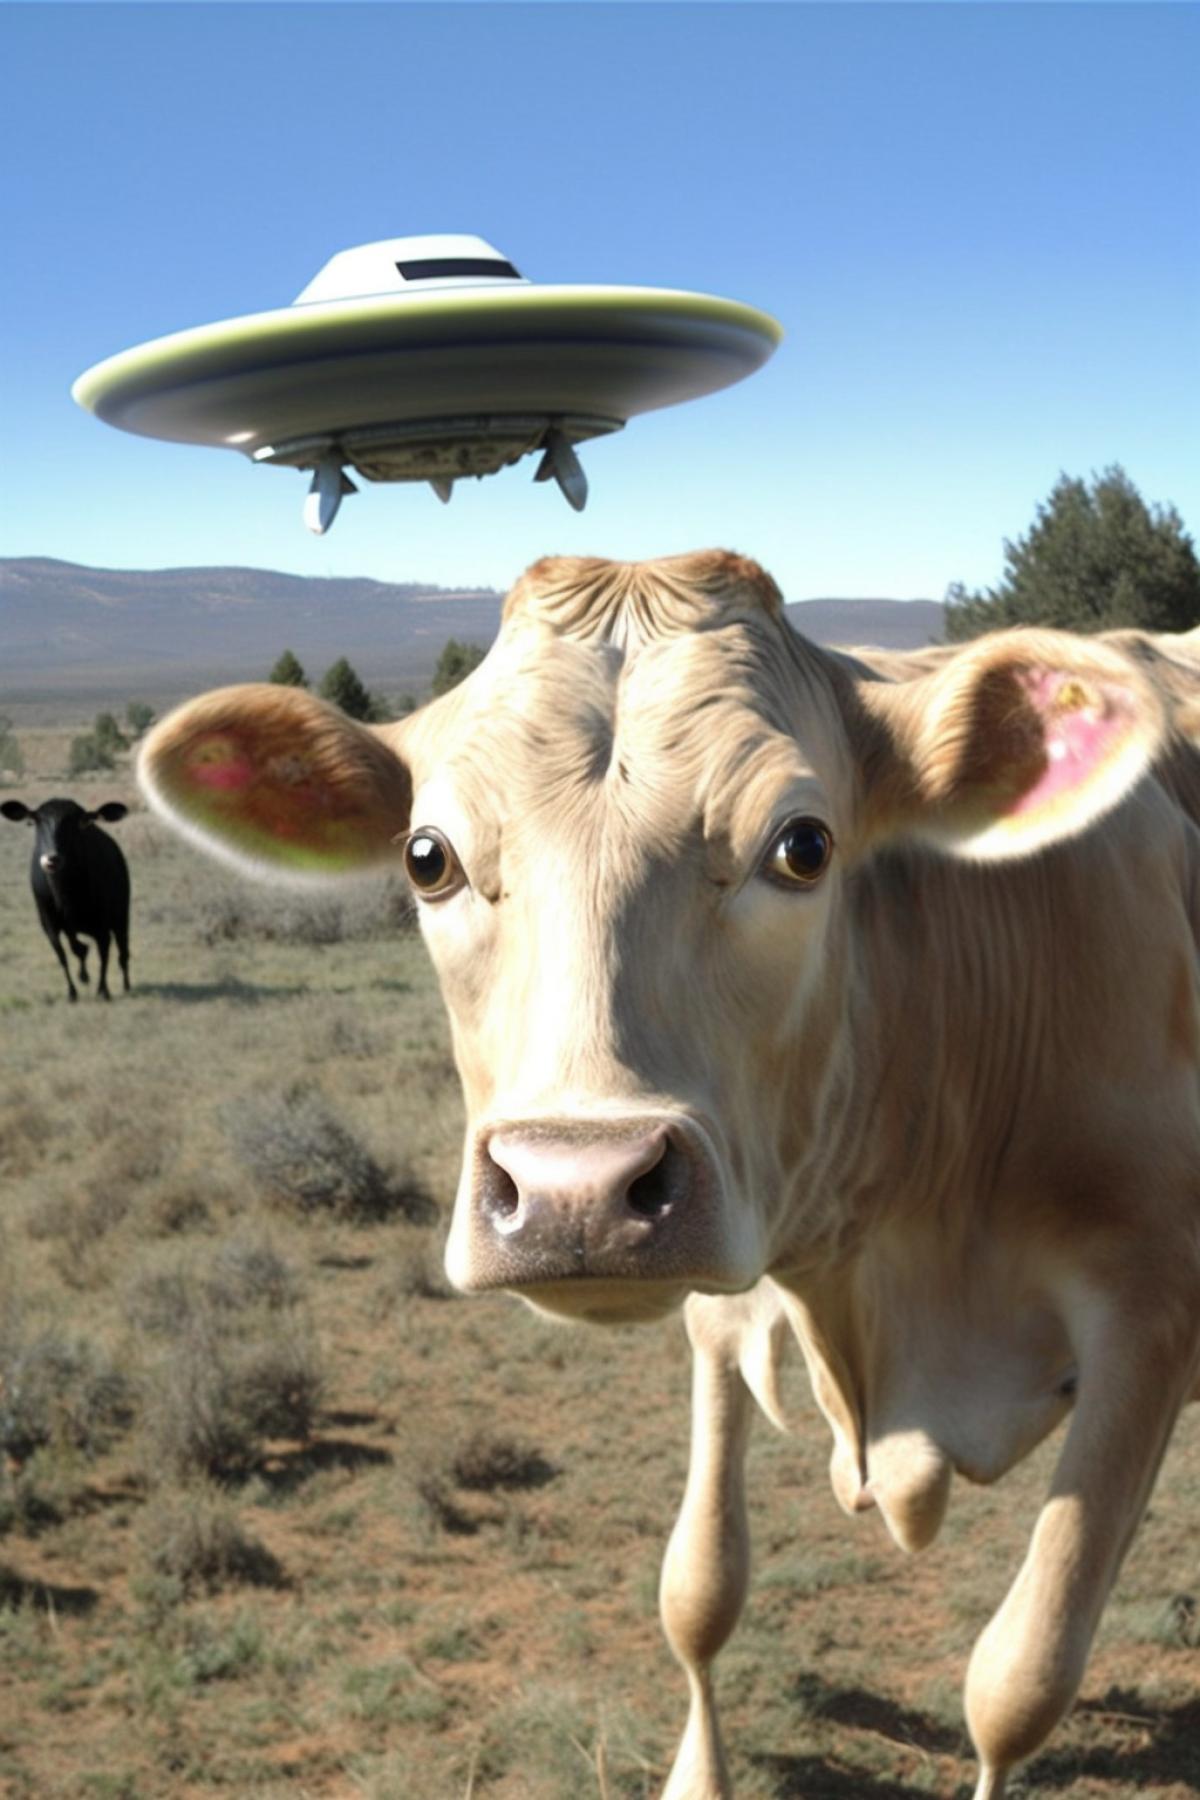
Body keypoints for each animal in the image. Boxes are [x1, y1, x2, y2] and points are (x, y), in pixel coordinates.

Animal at [1, 798, 132, 1002]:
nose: (52, 859)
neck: (66, 898)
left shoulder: (102, 924)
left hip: (121, 915)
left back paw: (126, 985)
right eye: (36, 821)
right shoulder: (49, 923)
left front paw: (103, 990)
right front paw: (73, 990)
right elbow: (65, 953)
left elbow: (103, 953)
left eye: (79, 822)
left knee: (122, 950)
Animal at [136, 551, 1200, 1800]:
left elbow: (1020, 1680)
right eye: (426, 857)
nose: (573, 1192)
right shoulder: (723, 1287)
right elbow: (697, 1592)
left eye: (803, 846)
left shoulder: (1150, 1317)